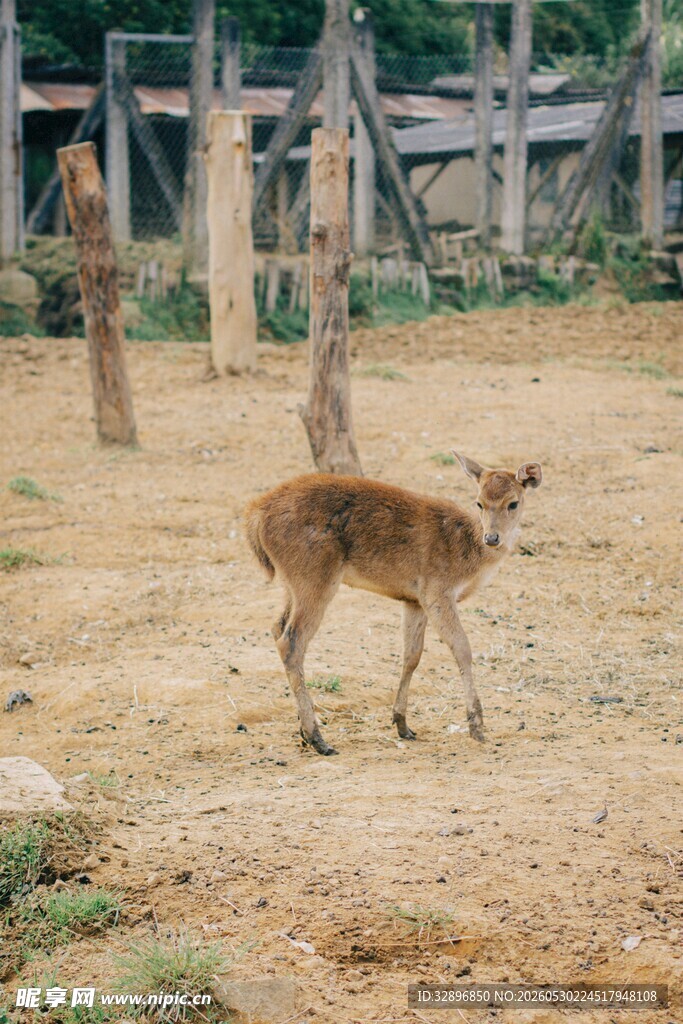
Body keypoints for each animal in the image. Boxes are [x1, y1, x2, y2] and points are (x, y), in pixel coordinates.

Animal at [245, 453, 542, 755]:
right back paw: (318, 738)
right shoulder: (437, 590)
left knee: (277, 627)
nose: (492, 538)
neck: (468, 554)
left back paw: (303, 732)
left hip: (292, 582)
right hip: (314, 577)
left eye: (513, 503)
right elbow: (462, 648)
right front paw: (477, 727)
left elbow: (411, 655)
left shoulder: (414, 599)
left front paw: (402, 723)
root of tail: (255, 516)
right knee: (291, 641)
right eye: (479, 501)